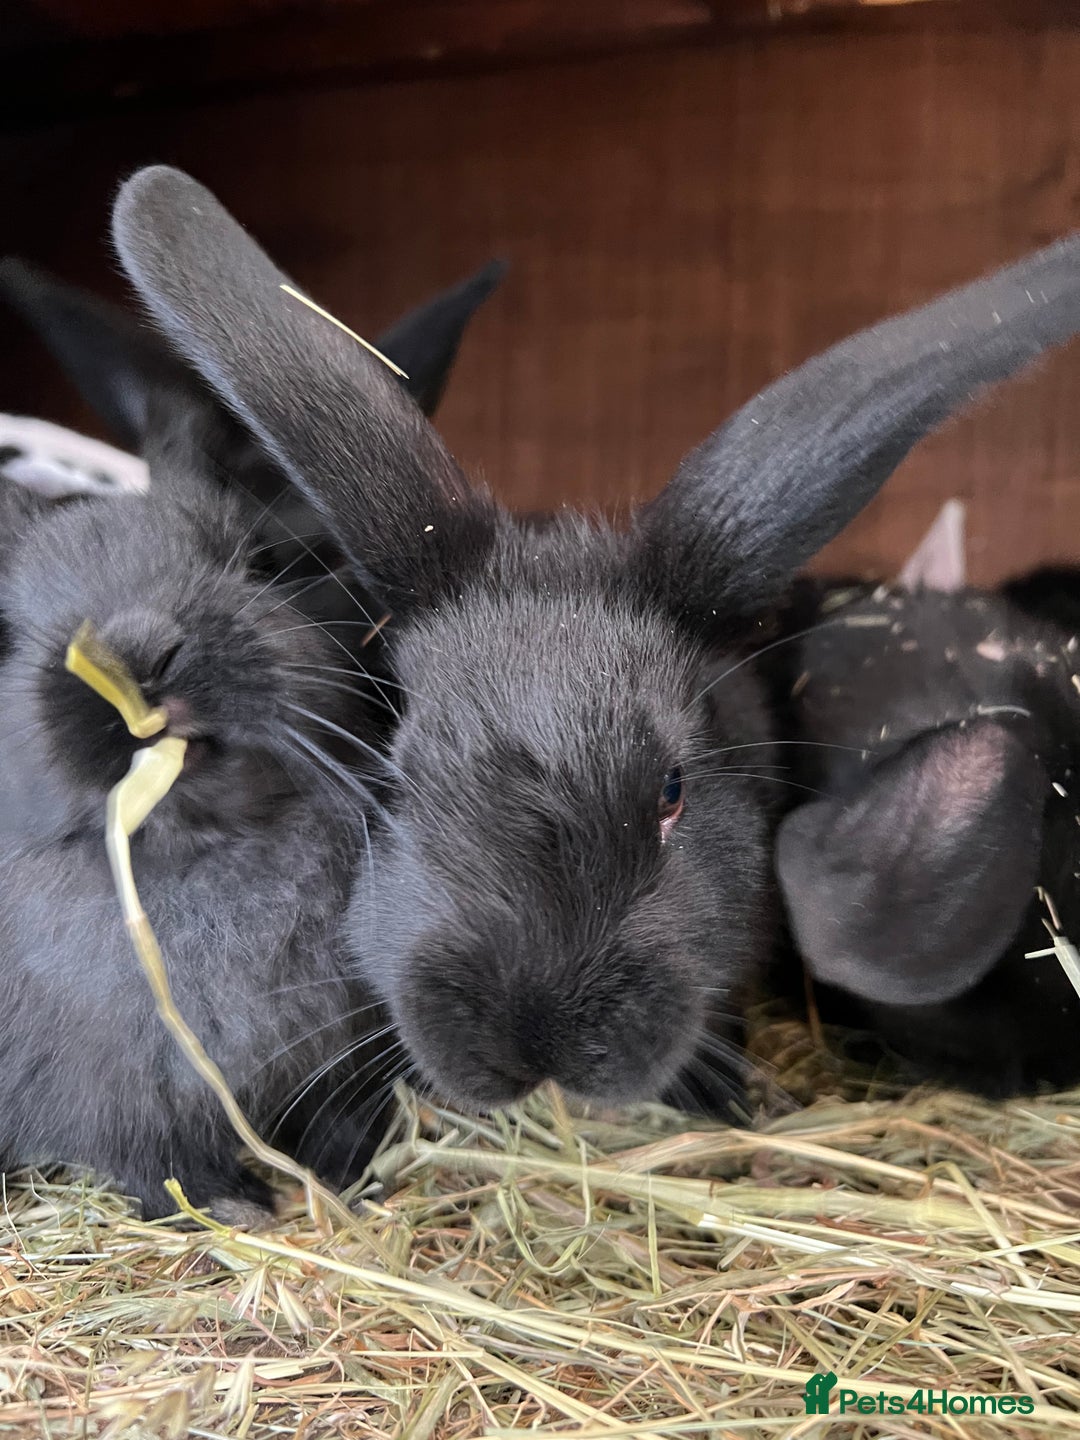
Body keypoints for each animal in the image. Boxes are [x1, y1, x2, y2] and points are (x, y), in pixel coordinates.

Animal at [0, 249, 502, 1220]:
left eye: (267, 562)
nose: (136, 653)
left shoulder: (350, 1060)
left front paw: (343, 1183)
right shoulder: (111, 1108)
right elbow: (157, 1164)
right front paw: (233, 1210)